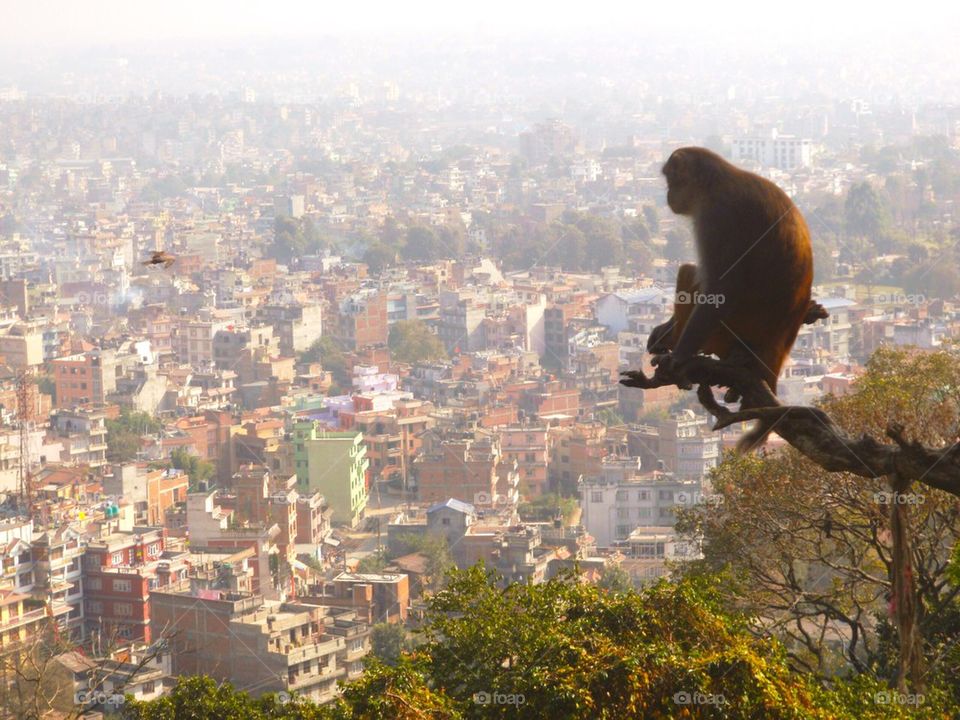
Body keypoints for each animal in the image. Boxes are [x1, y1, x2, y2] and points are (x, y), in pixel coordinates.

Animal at [652, 147, 814, 452]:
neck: (714, 183)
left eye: (670, 178)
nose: (667, 194)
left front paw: (678, 356)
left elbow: (721, 290)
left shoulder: (717, 217)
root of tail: (779, 344)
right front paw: (662, 330)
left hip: (729, 331)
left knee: (688, 271)